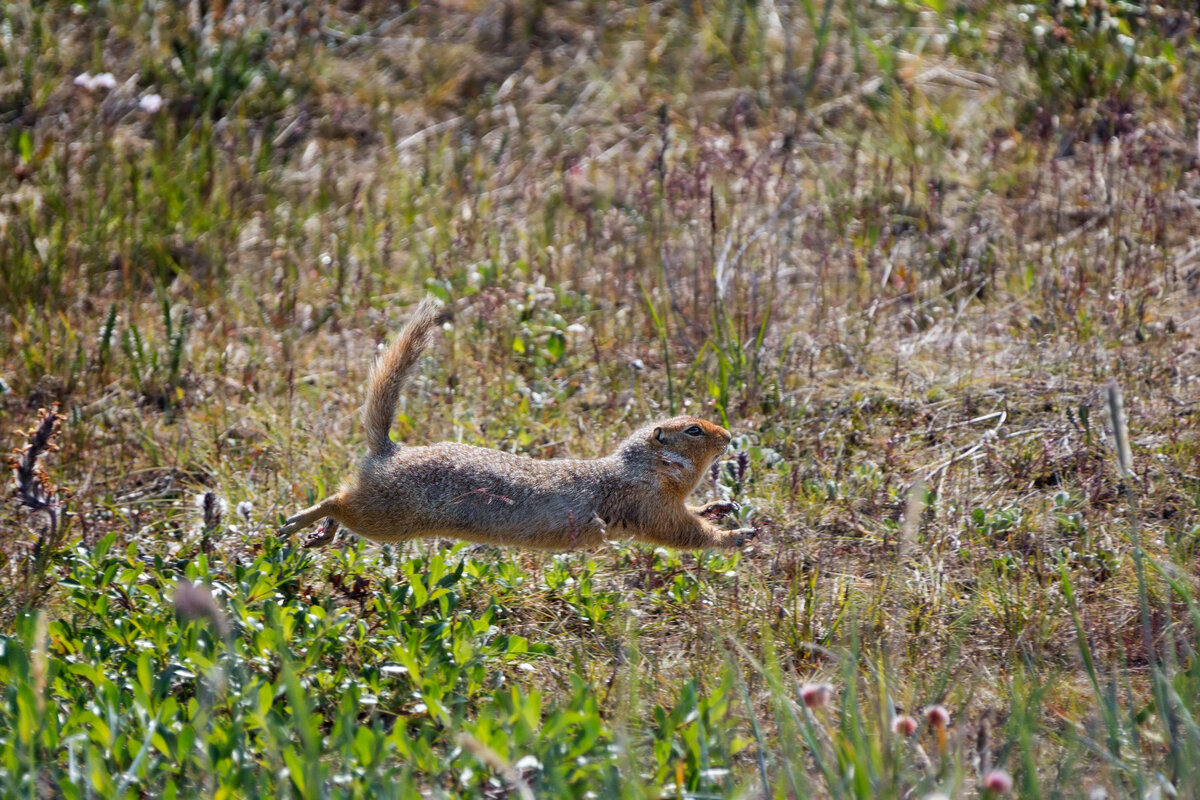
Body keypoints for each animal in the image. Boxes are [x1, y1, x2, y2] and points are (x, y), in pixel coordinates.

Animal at [276, 299, 753, 551]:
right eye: (693, 430)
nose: (729, 436)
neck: (646, 469)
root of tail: (388, 449)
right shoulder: (651, 506)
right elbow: (685, 533)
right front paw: (737, 534)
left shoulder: (665, 503)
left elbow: (692, 516)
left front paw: (721, 506)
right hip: (387, 517)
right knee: (338, 501)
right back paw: (300, 521)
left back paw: (320, 535)